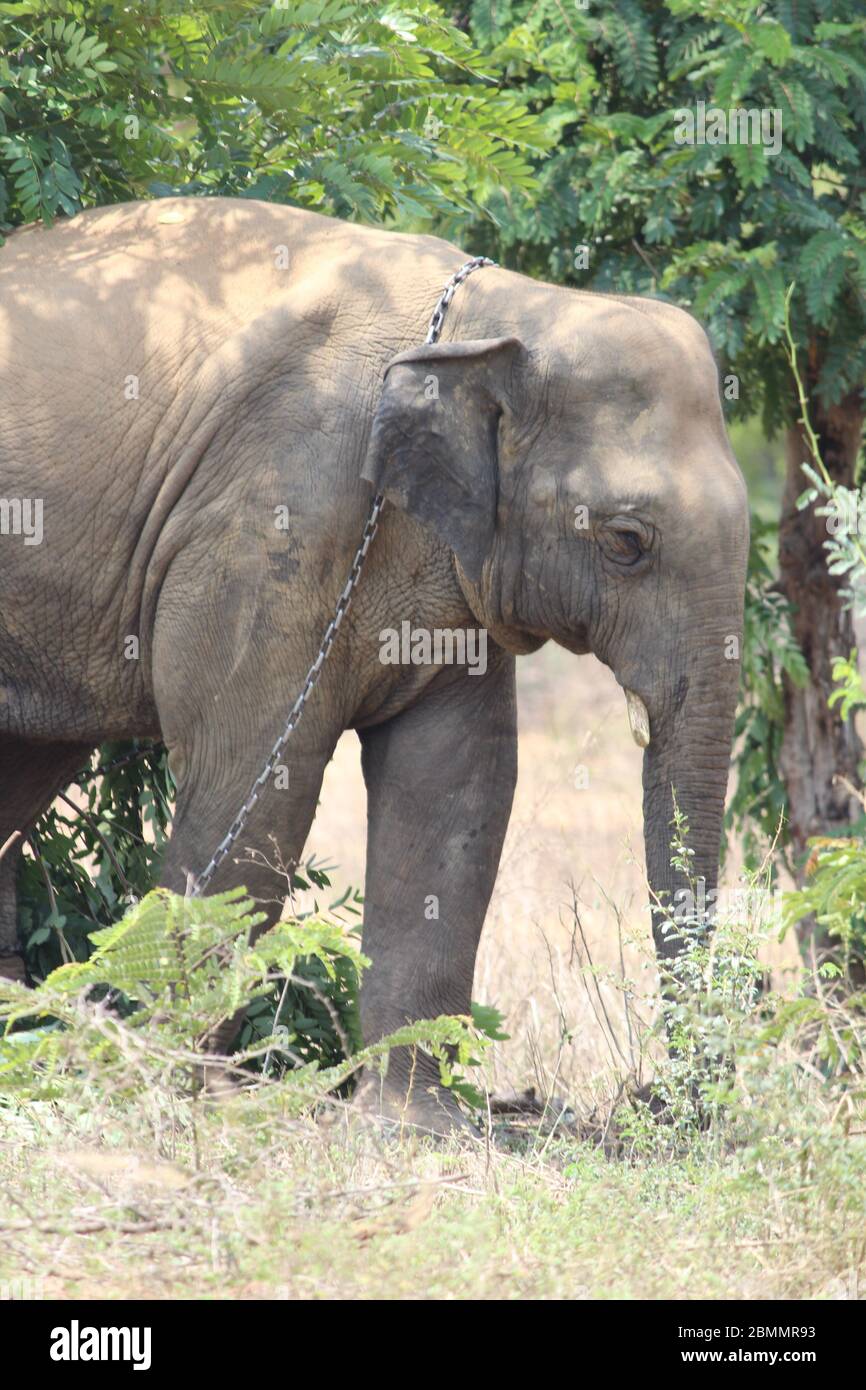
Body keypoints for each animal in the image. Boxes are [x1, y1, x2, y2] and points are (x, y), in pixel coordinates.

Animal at [0, 196, 749, 1133]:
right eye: (625, 542)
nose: (663, 1103)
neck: (496, 315)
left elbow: (456, 786)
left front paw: (414, 1124)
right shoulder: (270, 519)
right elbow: (255, 770)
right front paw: (188, 1095)